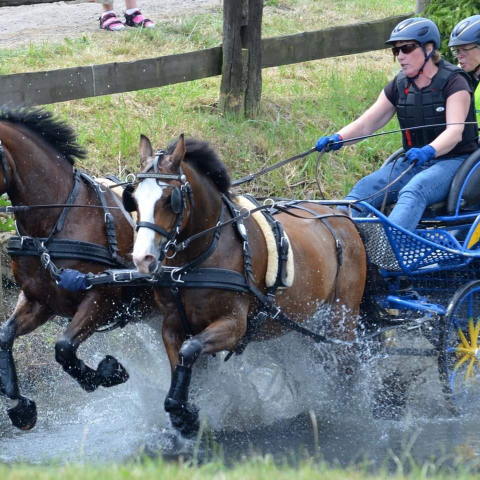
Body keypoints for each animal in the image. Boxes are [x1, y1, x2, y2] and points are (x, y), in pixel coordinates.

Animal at [0, 107, 156, 430]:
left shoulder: (103, 298)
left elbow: (63, 347)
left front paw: (108, 372)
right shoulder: (41, 301)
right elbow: (5, 336)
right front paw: (20, 406)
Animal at [127, 134, 368, 436]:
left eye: (171, 200)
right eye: (133, 198)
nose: (142, 259)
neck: (199, 259)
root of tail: (341, 218)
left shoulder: (234, 325)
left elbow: (190, 350)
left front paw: (187, 415)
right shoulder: (173, 325)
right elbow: (184, 362)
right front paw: (182, 412)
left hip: (341, 319)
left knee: (348, 365)